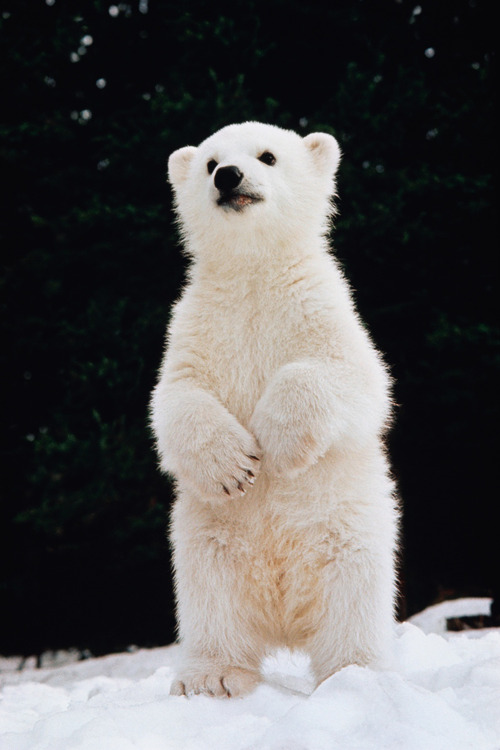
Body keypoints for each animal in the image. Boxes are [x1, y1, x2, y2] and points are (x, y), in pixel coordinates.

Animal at [150, 122, 400, 700]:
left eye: (267, 155)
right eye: (210, 161)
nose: (228, 176)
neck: (254, 274)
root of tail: (286, 623)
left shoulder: (322, 313)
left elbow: (358, 381)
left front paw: (278, 442)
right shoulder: (197, 327)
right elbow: (175, 399)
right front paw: (235, 466)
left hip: (350, 535)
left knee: (353, 602)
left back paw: (353, 676)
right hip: (208, 543)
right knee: (213, 602)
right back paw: (212, 677)